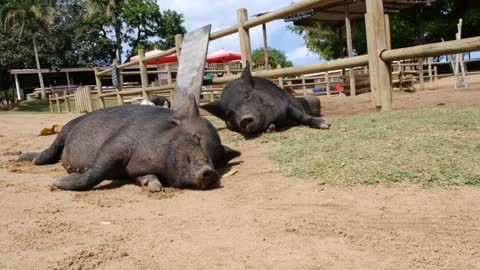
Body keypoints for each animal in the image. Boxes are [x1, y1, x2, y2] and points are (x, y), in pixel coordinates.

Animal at [17, 95, 240, 192]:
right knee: (49, 150)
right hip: (65, 129)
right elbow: (96, 170)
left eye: (216, 158)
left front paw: (153, 186)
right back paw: (26, 159)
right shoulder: (117, 143)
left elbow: (145, 178)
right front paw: (57, 183)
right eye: (196, 137)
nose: (210, 172)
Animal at [199, 63, 330, 135]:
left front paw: (325, 124)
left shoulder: (285, 104)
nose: (244, 119)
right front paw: (270, 128)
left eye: (247, 95)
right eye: (229, 112)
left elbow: (300, 116)